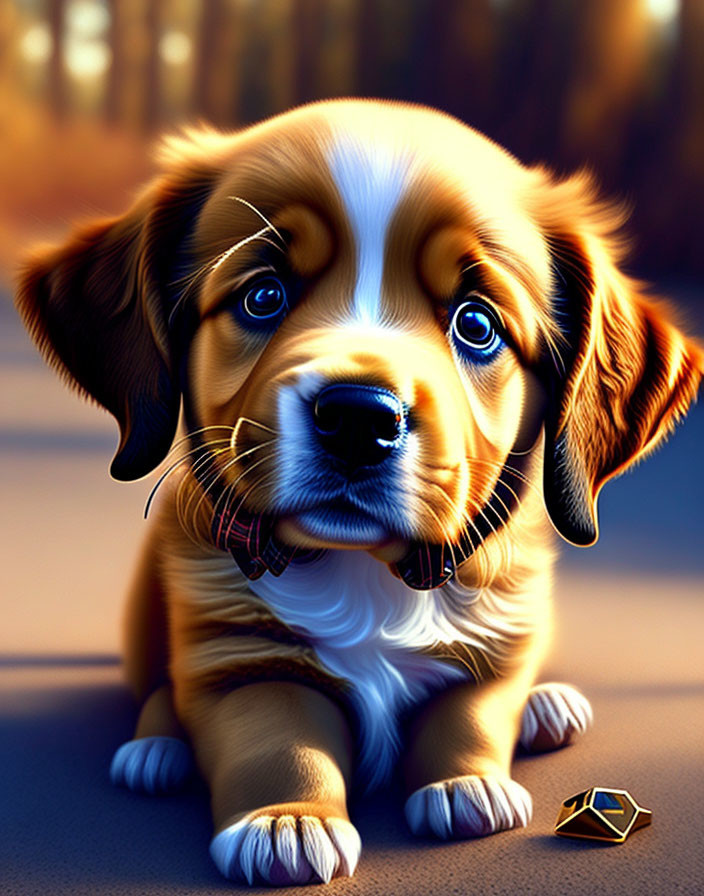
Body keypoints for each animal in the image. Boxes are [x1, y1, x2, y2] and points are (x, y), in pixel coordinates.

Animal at [16, 101, 704, 884]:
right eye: (263, 296)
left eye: (477, 323)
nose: (357, 418)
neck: (365, 571)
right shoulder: (240, 654)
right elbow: (277, 738)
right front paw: (287, 823)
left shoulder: (498, 632)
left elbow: (471, 709)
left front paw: (466, 785)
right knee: (161, 689)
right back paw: (154, 749)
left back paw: (547, 707)